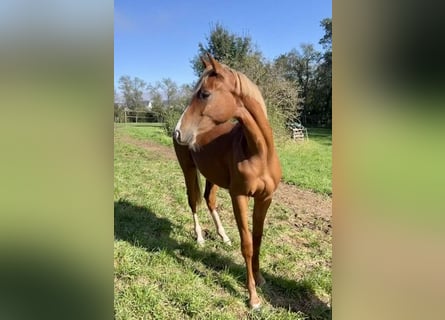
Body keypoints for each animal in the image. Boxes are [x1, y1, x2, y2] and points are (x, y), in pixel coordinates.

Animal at [172, 53, 280, 308]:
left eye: (205, 94)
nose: (178, 132)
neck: (259, 153)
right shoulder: (239, 196)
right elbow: (247, 244)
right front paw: (253, 298)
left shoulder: (265, 199)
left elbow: (258, 239)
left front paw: (260, 279)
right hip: (188, 169)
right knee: (193, 201)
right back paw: (200, 237)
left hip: (212, 175)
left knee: (209, 200)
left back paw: (223, 236)